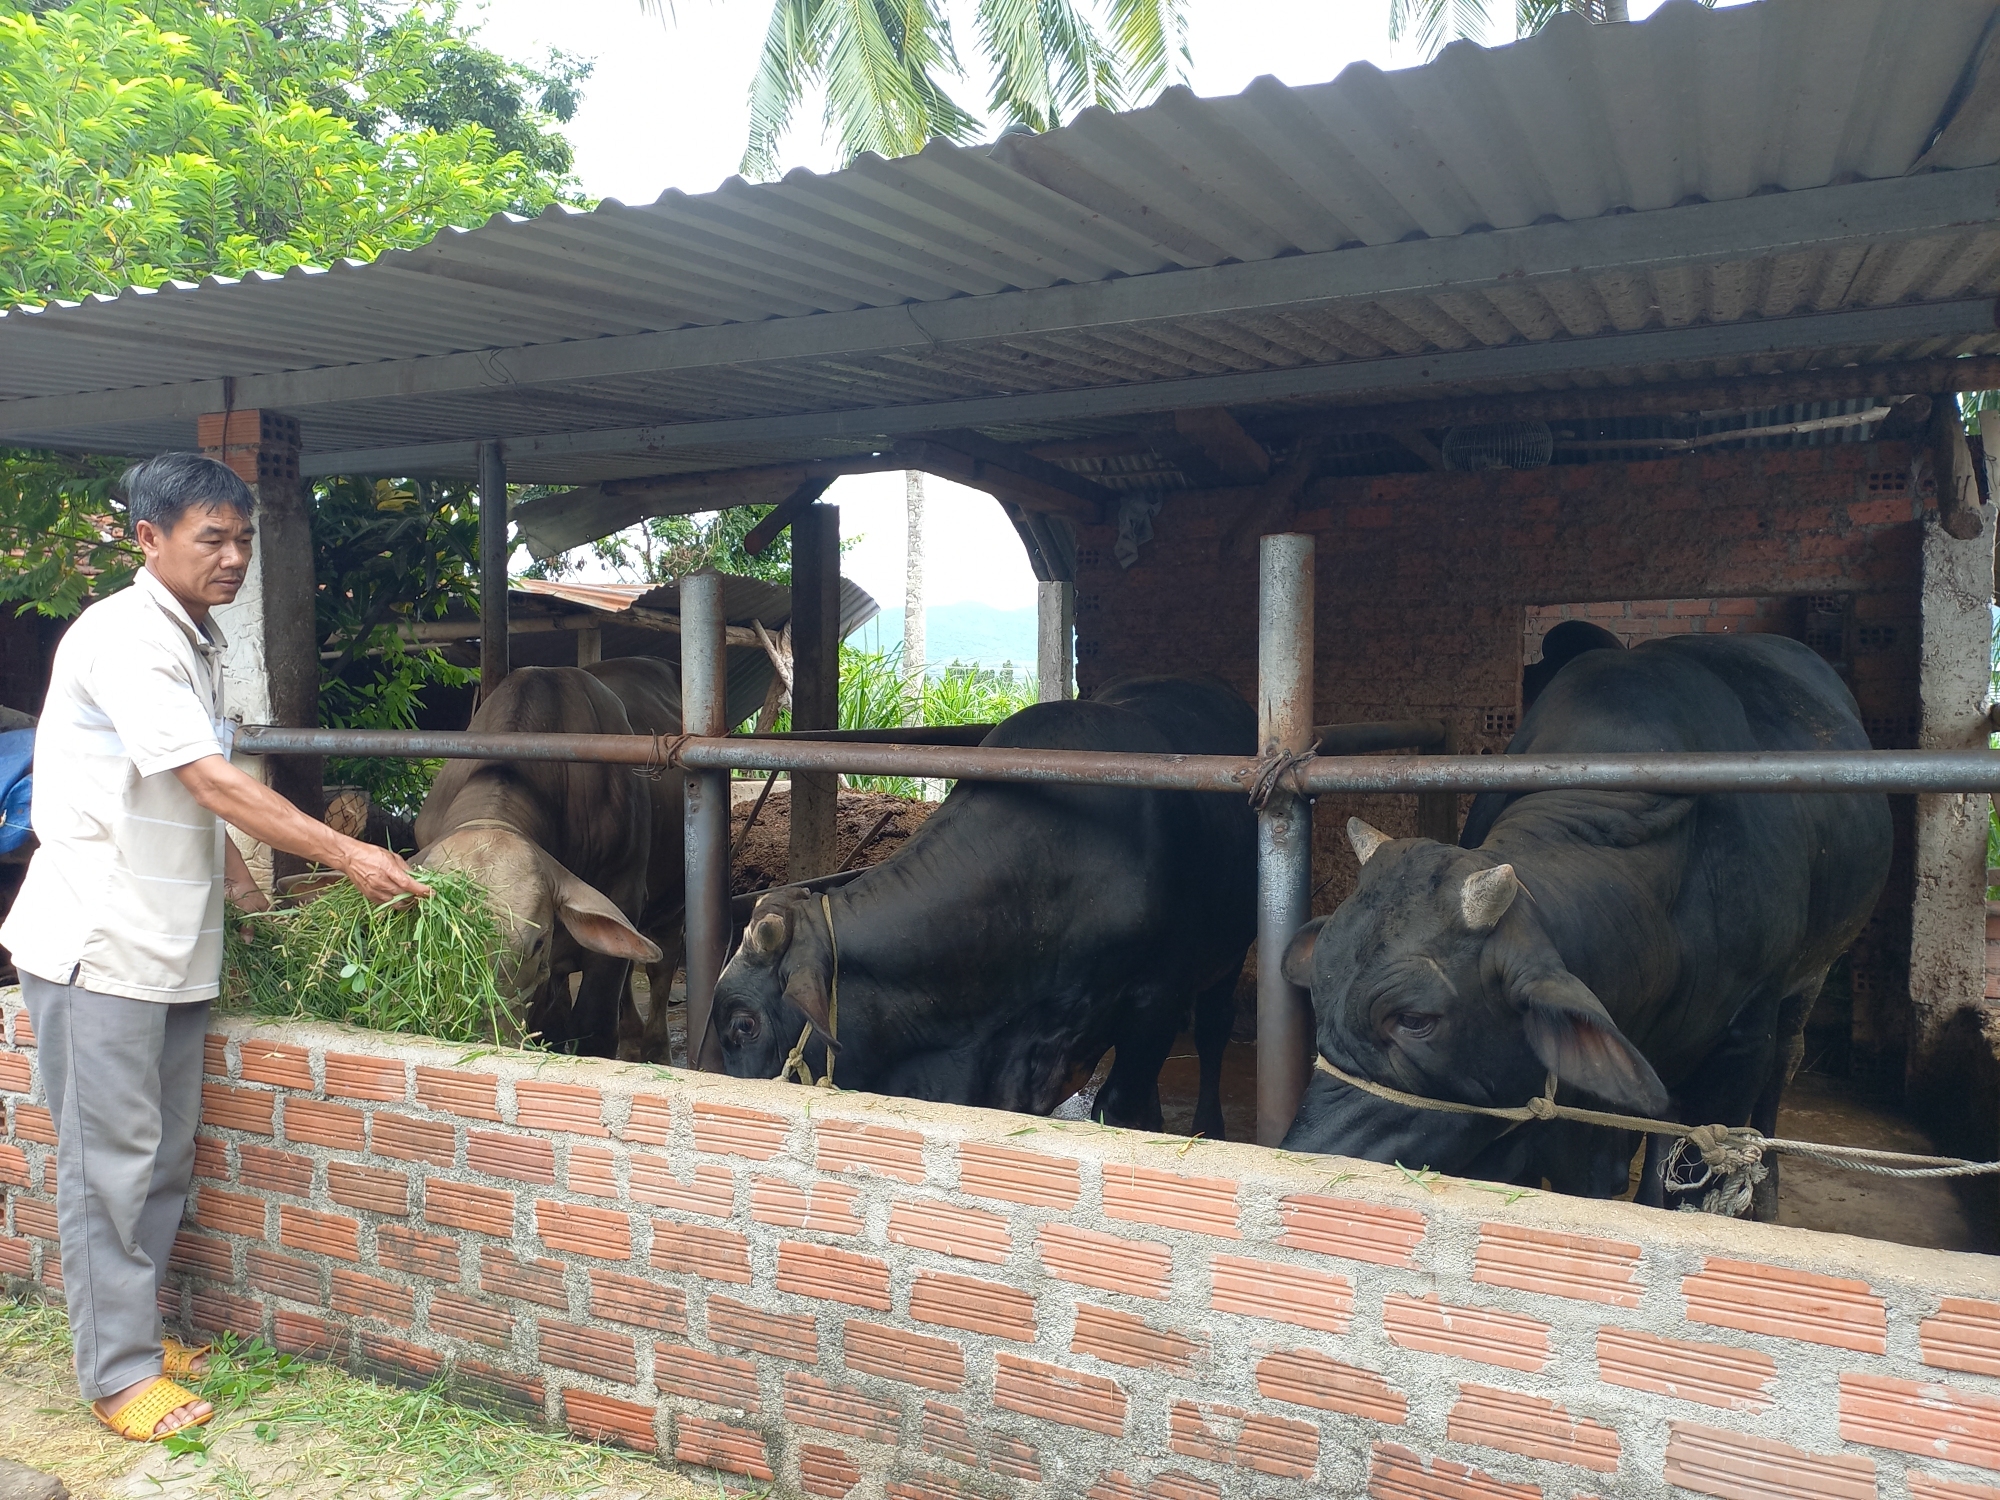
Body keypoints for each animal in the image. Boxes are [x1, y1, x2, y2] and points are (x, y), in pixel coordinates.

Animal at [1280, 636, 1888, 1224]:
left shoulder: (1739, 1050)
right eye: (1320, 992)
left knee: (1784, 1061)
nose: (1304, 1151)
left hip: (1806, 984)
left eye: (1414, 1020)